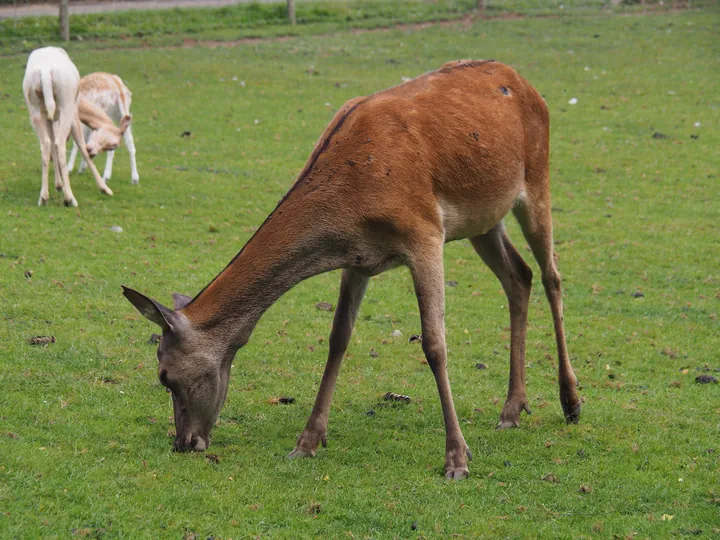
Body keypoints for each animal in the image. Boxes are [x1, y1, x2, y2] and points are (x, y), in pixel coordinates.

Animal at [124, 60, 584, 480]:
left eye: (165, 376)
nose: (185, 443)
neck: (353, 195)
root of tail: (524, 81)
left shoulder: (425, 234)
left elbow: (435, 344)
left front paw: (457, 458)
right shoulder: (358, 259)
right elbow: (338, 338)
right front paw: (307, 442)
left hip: (537, 180)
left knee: (551, 276)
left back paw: (571, 401)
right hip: (483, 220)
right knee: (518, 277)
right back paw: (512, 409)